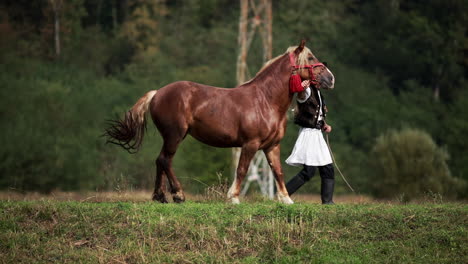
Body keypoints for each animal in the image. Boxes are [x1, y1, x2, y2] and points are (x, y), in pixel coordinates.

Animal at [104, 39, 334, 204]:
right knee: (165, 160)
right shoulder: (250, 144)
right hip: (175, 135)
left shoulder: (271, 146)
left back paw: (160, 197)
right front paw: (233, 198)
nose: (331, 78)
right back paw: (178, 195)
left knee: (160, 161)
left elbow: (277, 171)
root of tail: (157, 93)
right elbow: (242, 170)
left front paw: (286, 200)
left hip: (171, 137)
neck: (265, 100)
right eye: (310, 57)